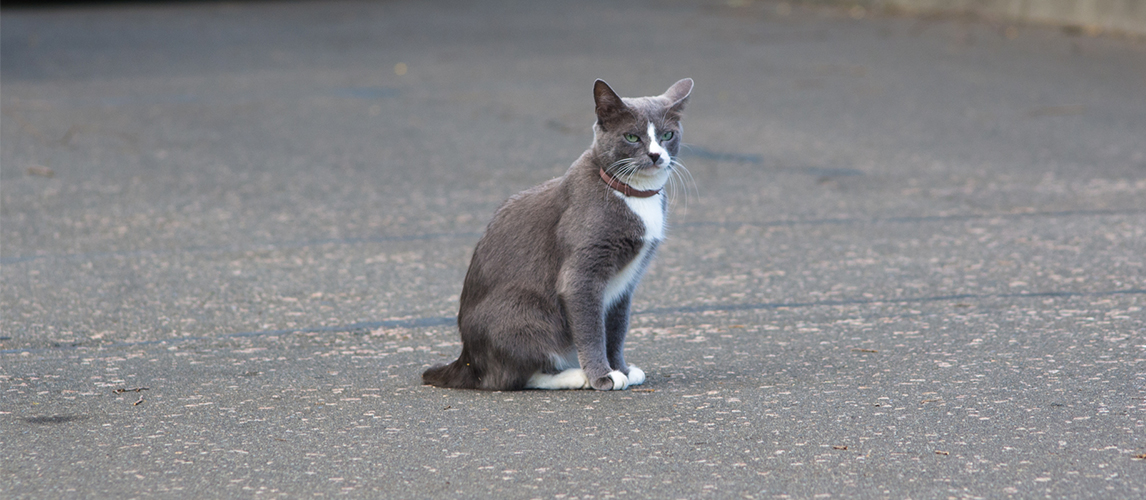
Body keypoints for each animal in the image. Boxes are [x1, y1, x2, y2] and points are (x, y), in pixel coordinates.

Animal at [421, 77, 687, 389]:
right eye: (632, 137)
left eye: (668, 135)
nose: (656, 155)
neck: (632, 193)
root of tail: (467, 361)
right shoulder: (582, 272)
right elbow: (591, 330)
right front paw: (603, 375)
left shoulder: (626, 283)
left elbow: (616, 328)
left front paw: (620, 367)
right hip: (526, 314)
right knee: (513, 376)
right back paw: (574, 375)